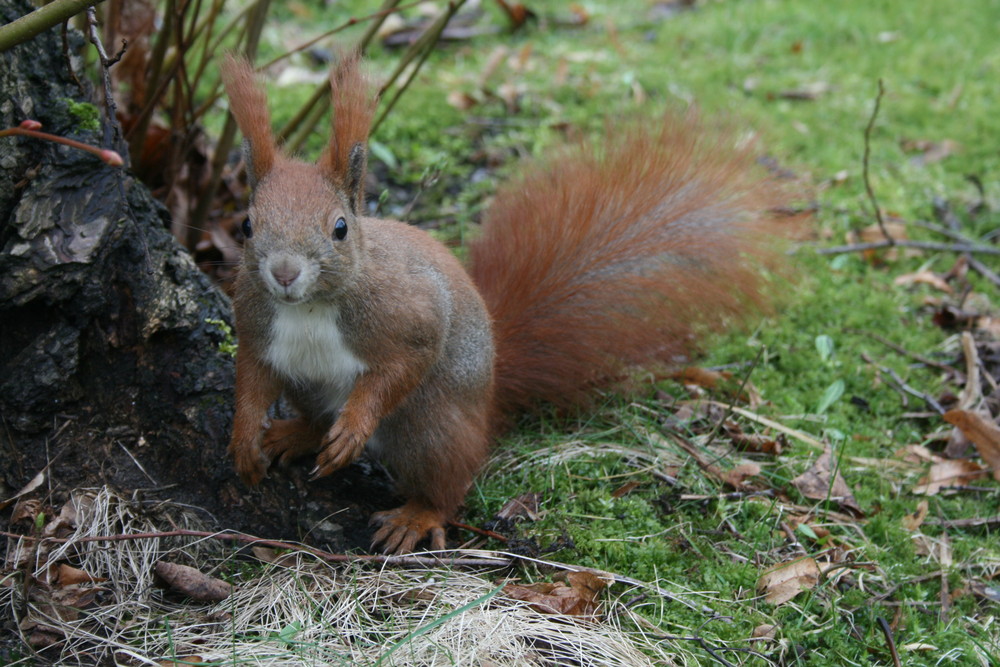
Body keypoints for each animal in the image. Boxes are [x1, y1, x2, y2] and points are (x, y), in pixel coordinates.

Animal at [221, 53, 788, 552]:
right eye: (246, 225)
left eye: (339, 228)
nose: (284, 272)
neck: (310, 307)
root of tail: (491, 396)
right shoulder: (255, 324)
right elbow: (250, 376)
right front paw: (244, 438)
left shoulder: (410, 313)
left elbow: (405, 361)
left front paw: (355, 425)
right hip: (308, 387)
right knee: (317, 417)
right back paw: (294, 434)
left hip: (431, 426)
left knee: (448, 483)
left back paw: (415, 514)